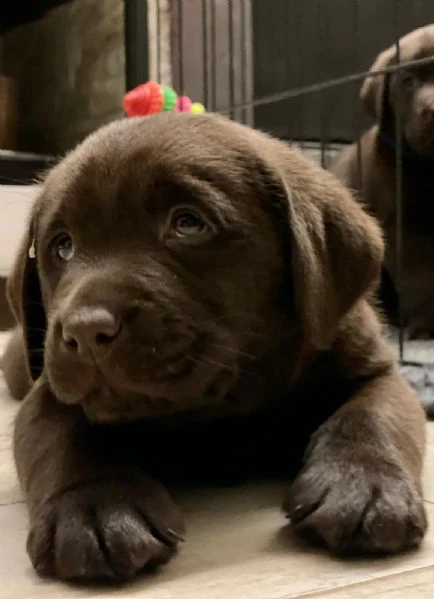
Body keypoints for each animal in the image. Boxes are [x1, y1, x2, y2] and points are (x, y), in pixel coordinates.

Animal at [1, 113, 427, 582]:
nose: (85, 330)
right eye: (62, 246)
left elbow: (371, 415)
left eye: (187, 223)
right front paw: (96, 507)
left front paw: (363, 486)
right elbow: (61, 437)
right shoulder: (49, 392)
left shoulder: (372, 367)